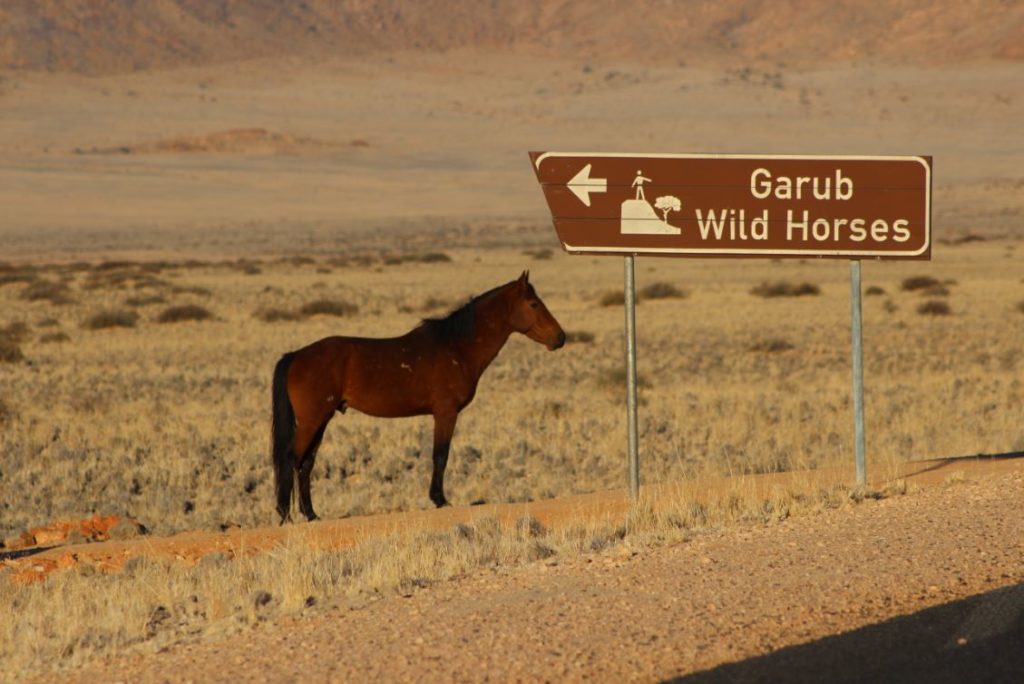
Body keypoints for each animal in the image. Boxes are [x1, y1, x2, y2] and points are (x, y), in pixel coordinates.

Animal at [270, 272, 569, 524]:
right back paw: (285, 515)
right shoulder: (446, 412)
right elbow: (440, 454)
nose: (560, 338)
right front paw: (440, 499)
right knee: (290, 458)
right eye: (534, 304)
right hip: (313, 419)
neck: (456, 347)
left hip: (322, 420)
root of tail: (296, 355)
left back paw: (311, 514)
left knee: (305, 464)